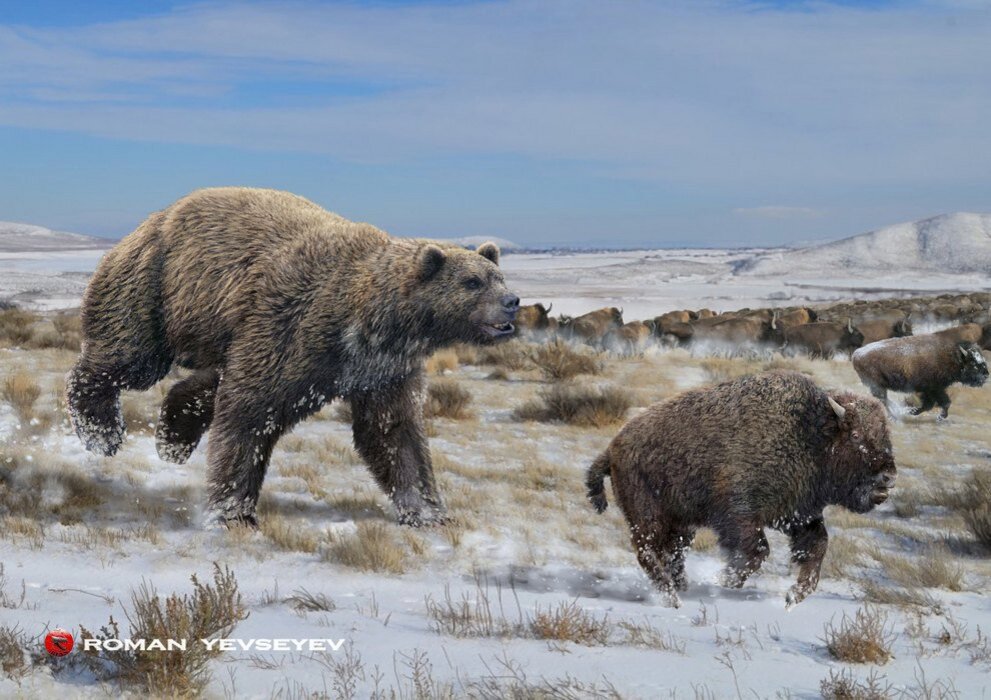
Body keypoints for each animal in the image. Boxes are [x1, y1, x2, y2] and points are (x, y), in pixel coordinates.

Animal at [68, 186, 520, 524]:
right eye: (472, 282)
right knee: (128, 357)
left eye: (498, 276)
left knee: (206, 381)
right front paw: (234, 512)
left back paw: (173, 439)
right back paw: (101, 431)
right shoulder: (291, 326)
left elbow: (392, 431)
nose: (512, 303)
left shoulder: (381, 368)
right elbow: (250, 412)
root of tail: (154, 218)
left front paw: (429, 512)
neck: (369, 321)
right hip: (156, 285)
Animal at [584, 372, 896, 608]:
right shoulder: (740, 515)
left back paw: (680, 589)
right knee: (648, 552)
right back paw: (672, 599)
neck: (810, 434)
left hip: (680, 524)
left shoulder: (798, 514)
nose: (889, 477)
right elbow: (756, 551)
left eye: (885, 435)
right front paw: (724, 582)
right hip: (648, 516)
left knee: (672, 554)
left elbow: (817, 546)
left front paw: (793, 597)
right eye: (855, 435)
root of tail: (612, 449)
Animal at [852, 330, 991, 422]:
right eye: (974, 363)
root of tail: (856, 354)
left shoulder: (930, 390)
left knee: (883, 400)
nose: (986, 375)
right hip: (878, 386)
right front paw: (940, 417)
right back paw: (893, 417)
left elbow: (929, 404)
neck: (952, 356)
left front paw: (912, 411)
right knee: (883, 400)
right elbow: (944, 402)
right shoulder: (934, 388)